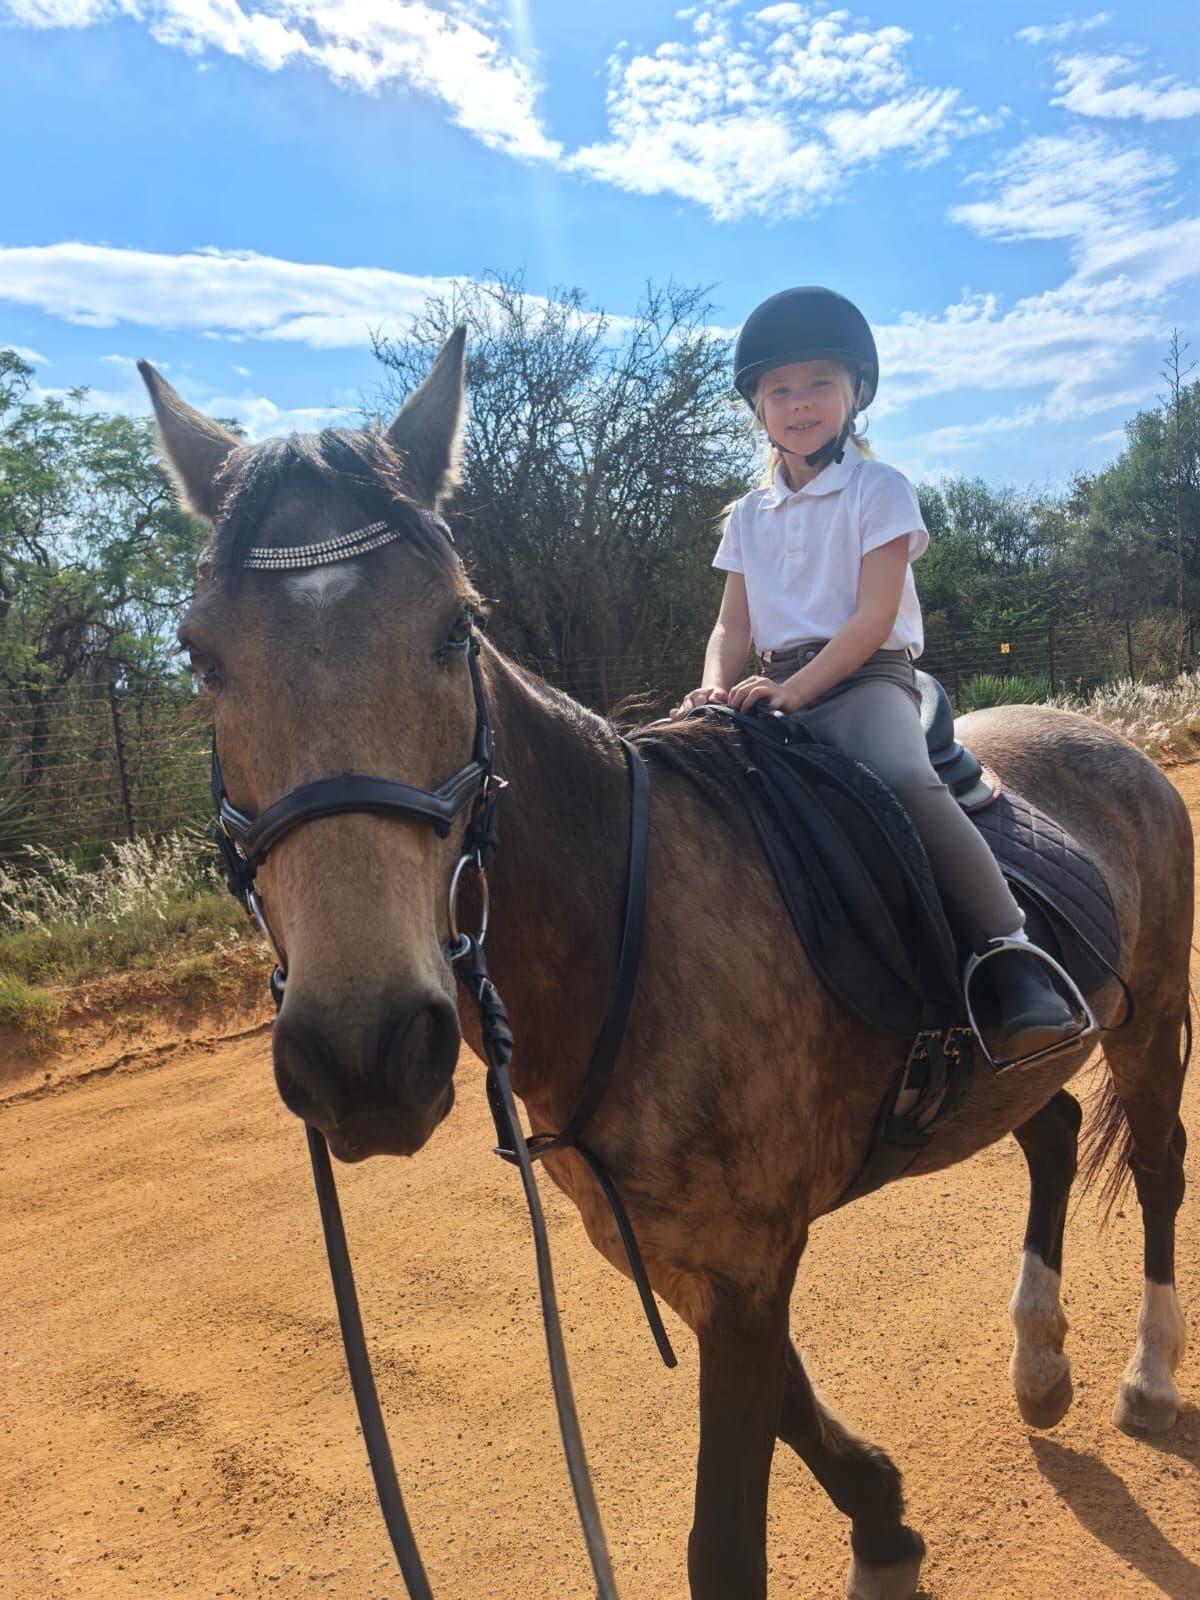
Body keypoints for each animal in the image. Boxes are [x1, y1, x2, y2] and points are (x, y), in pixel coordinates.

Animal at [140, 332, 1191, 1600]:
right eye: (201, 657)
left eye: (453, 629)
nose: (365, 1054)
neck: (623, 933)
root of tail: (1118, 745)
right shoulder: (686, 1257)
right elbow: (794, 1408)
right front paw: (885, 1517)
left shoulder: (744, 1263)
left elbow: (724, 1535)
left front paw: (876, 1522)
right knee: (1050, 1129)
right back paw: (1040, 1364)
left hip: (1152, 1021)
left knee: (1160, 1169)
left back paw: (1147, 1376)